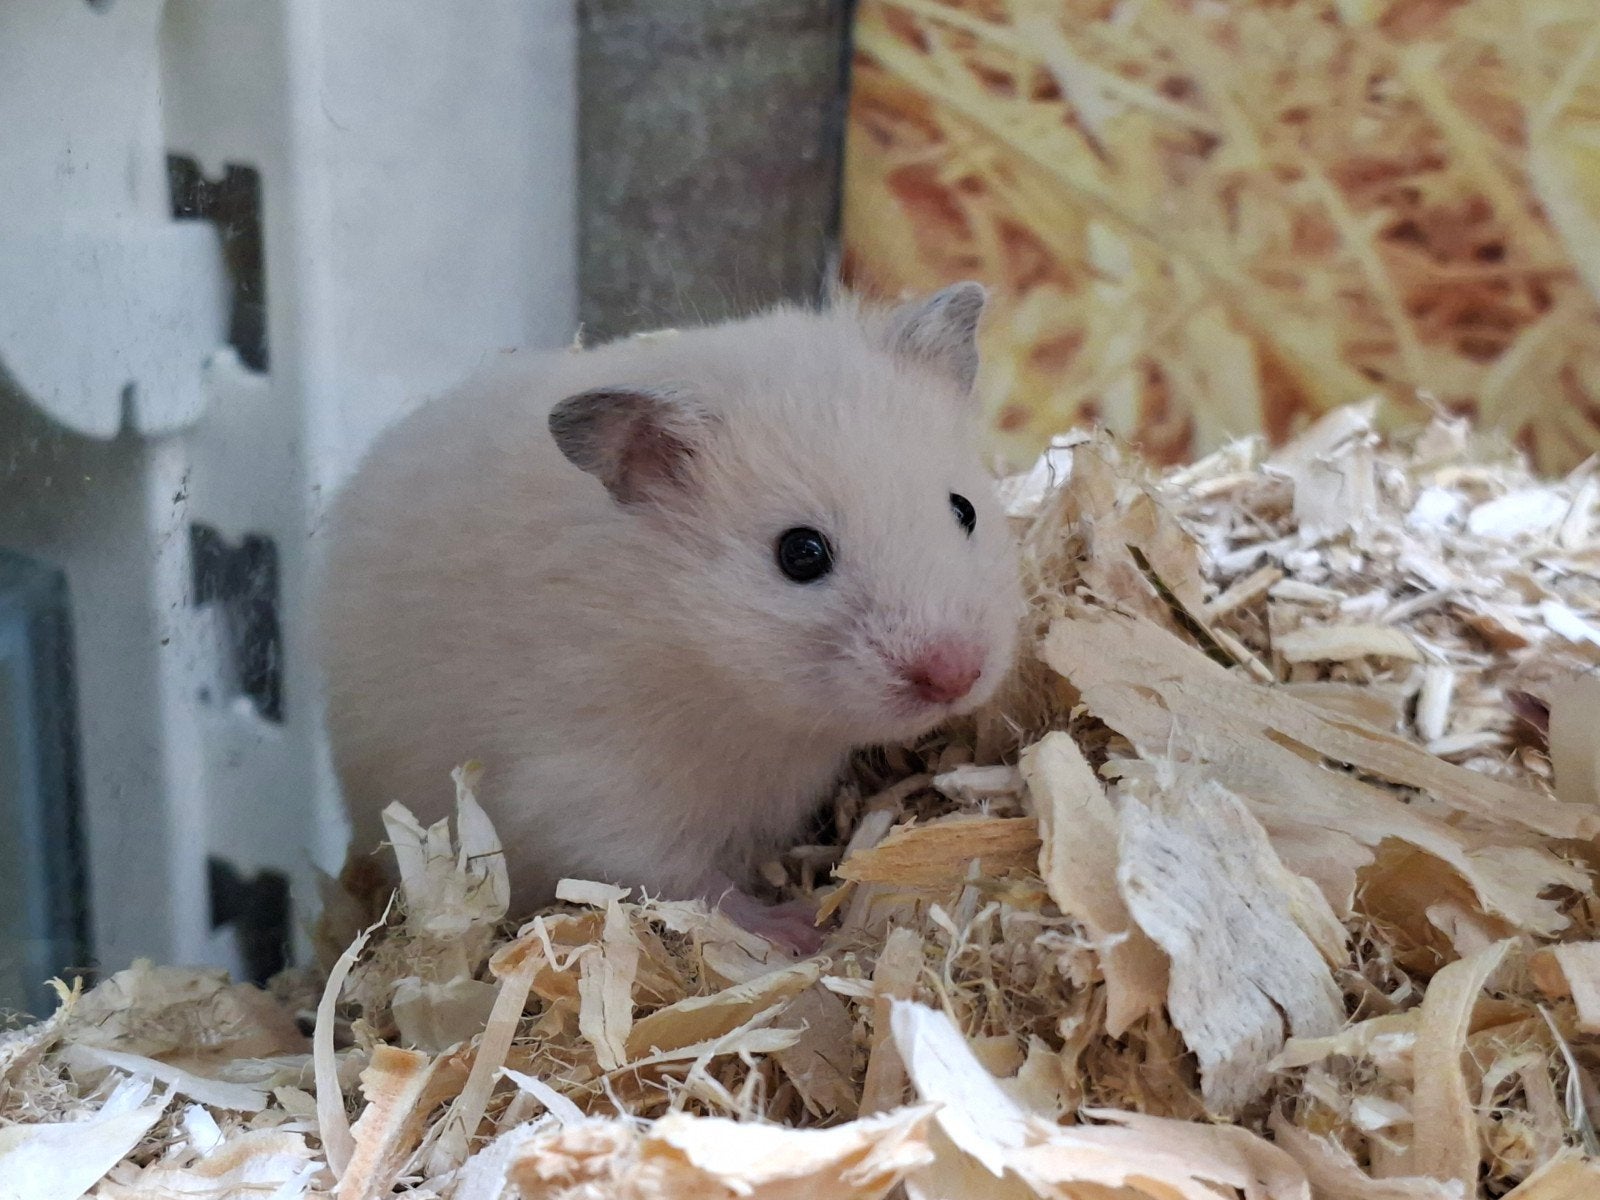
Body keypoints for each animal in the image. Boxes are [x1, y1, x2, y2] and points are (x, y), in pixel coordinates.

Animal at [317, 282, 1024, 953]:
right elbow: (683, 880)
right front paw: (797, 930)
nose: (956, 676)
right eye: (800, 553)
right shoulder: (589, 790)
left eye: (964, 509)